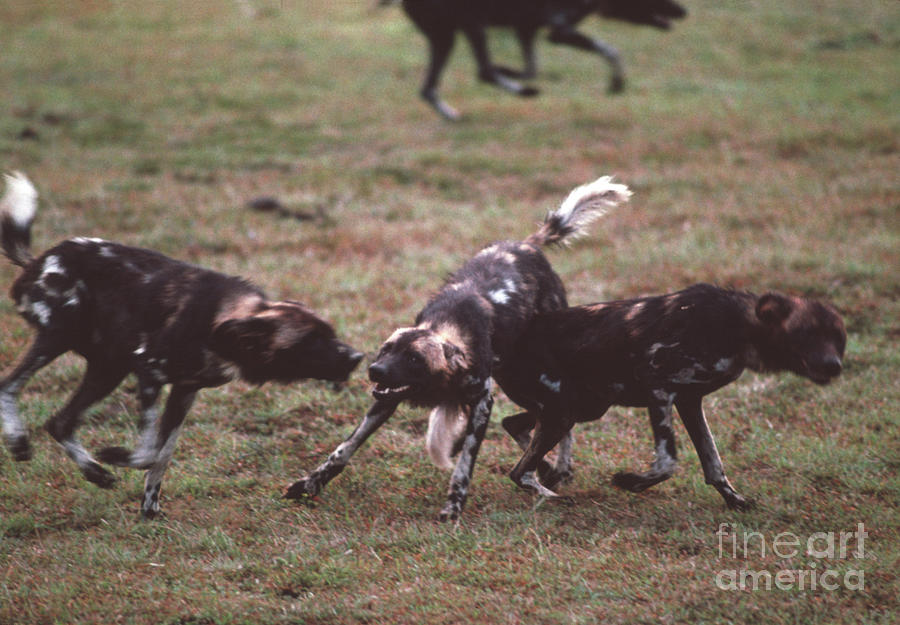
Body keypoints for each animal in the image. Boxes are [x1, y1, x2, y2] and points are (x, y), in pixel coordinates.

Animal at [4, 171, 362, 516]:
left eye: (330, 332)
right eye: (311, 340)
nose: (357, 357)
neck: (217, 326)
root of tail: (39, 261)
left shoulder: (185, 391)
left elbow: (162, 454)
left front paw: (149, 506)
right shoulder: (148, 371)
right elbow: (149, 451)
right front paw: (117, 456)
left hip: (108, 368)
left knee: (59, 422)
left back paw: (95, 472)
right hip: (61, 340)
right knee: (10, 385)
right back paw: (19, 442)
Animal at [284, 177, 628, 520]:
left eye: (414, 358)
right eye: (386, 350)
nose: (374, 370)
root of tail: (527, 244)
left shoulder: (482, 403)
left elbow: (464, 466)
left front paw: (453, 507)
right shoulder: (385, 400)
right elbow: (344, 449)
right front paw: (310, 485)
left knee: (558, 423)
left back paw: (560, 467)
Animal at [502, 282, 848, 508]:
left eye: (839, 339)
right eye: (804, 334)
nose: (834, 365)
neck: (738, 326)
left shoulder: (689, 400)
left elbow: (713, 463)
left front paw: (734, 500)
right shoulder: (658, 385)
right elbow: (668, 462)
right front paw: (630, 482)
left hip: (585, 407)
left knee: (512, 425)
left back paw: (550, 473)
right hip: (566, 412)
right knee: (518, 471)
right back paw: (554, 496)